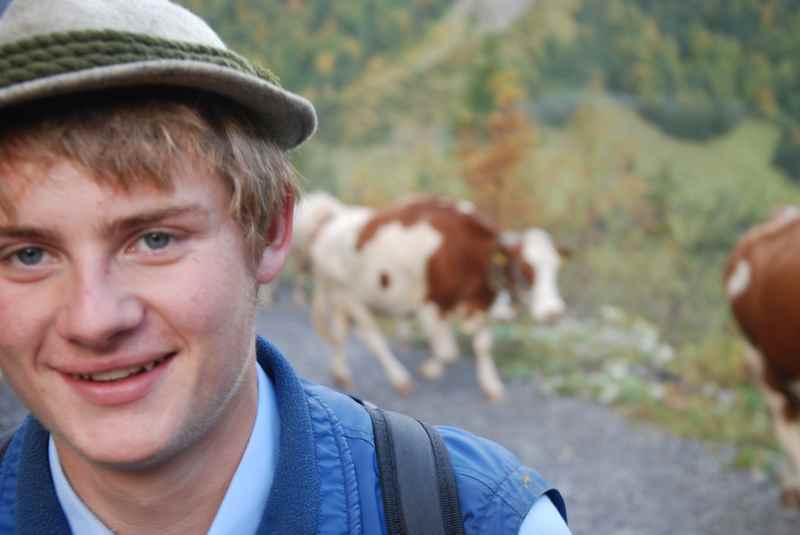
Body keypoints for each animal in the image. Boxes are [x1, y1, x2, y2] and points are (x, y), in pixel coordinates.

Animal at [310, 197, 564, 402]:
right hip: (348, 296)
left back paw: (341, 373)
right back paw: (399, 378)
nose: (553, 313)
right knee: (371, 337)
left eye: (555, 267)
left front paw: (491, 385)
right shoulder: (430, 306)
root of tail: (331, 220)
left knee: (340, 334)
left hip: (341, 299)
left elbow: (482, 346)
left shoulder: (480, 307)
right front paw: (431, 369)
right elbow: (447, 352)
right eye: (526, 268)